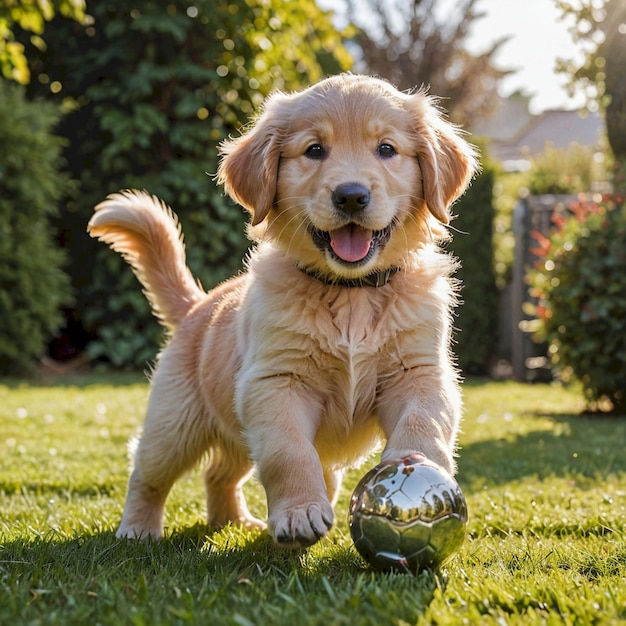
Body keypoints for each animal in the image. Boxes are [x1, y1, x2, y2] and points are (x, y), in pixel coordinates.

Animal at [88, 73, 476, 544]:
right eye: (314, 150)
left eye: (386, 149)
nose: (351, 196)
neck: (351, 292)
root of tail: (200, 305)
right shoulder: (274, 383)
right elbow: (288, 452)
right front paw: (300, 511)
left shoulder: (420, 372)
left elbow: (423, 424)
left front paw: (414, 473)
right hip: (174, 422)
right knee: (148, 472)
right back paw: (138, 528)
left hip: (233, 429)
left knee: (220, 473)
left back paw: (234, 521)